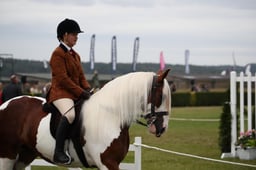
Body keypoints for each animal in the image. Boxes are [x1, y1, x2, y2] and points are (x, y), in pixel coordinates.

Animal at [0, 69, 172, 170]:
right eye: (161, 96)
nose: (162, 128)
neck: (111, 116)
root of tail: (5, 104)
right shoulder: (107, 163)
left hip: (24, 156)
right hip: (7, 157)